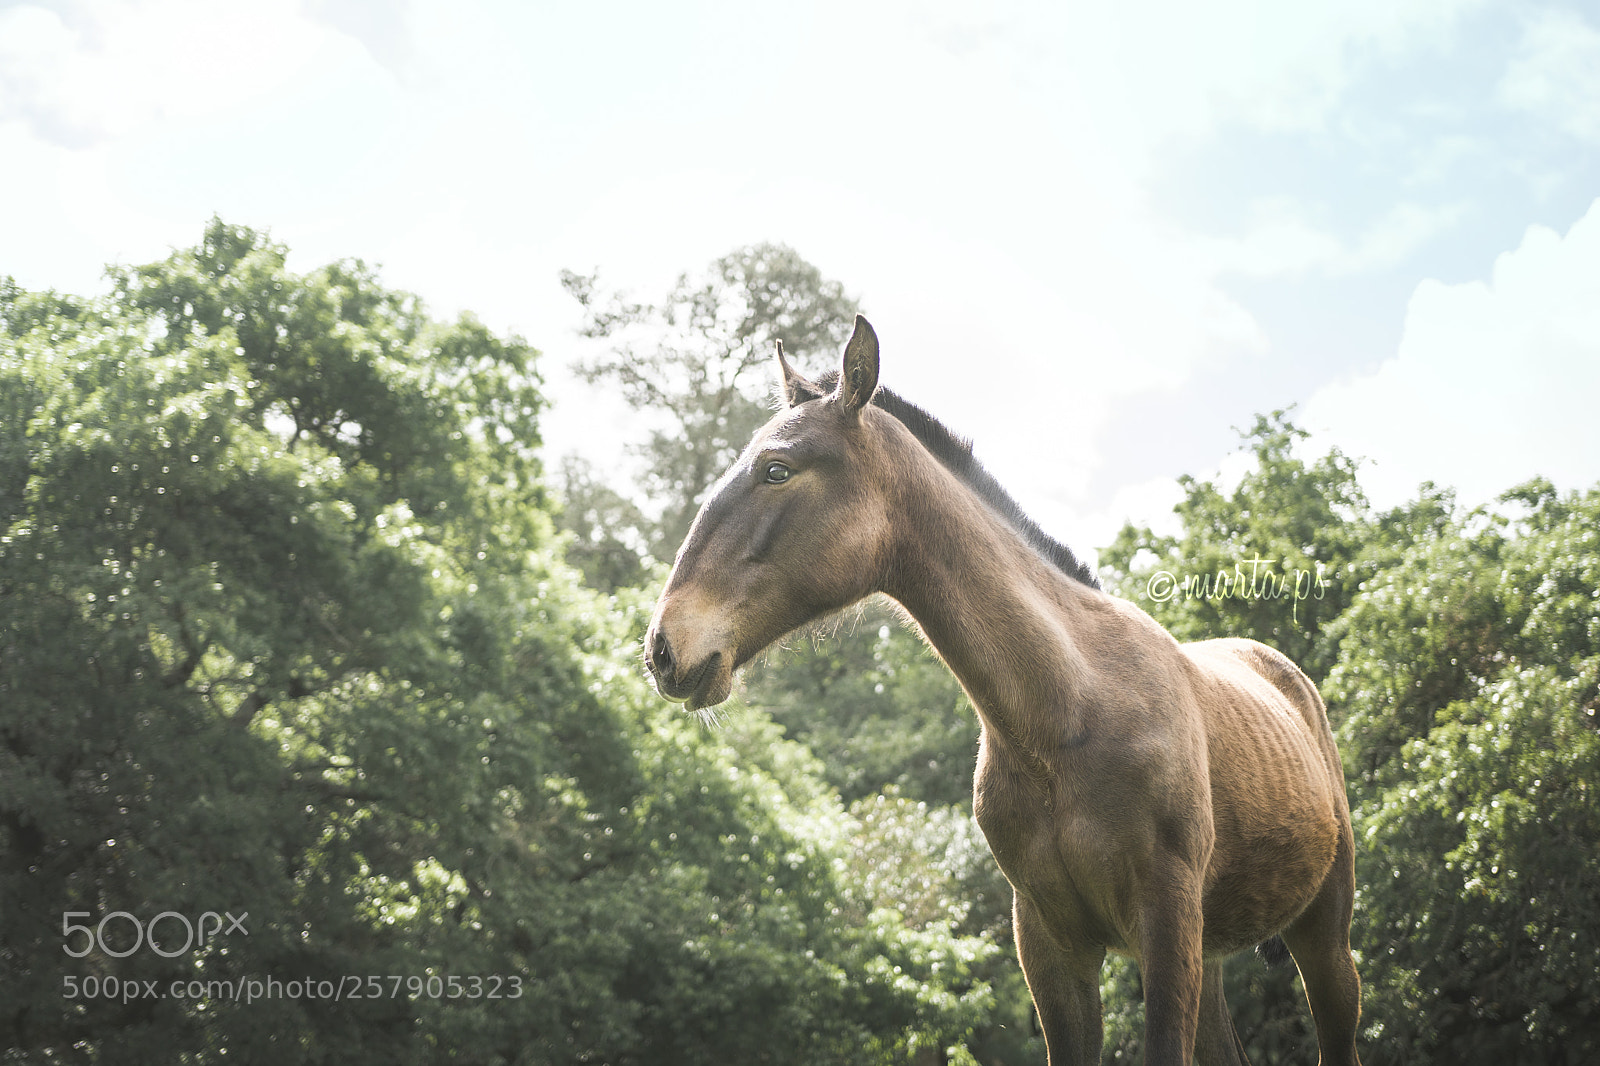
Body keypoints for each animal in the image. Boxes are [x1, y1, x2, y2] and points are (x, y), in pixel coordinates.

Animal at [643, 316, 1361, 1066]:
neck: (1065, 718)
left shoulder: (1165, 929)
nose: (663, 649)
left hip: (1322, 936)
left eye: (777, 469)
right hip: (1215, 954)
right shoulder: (1051, 946)